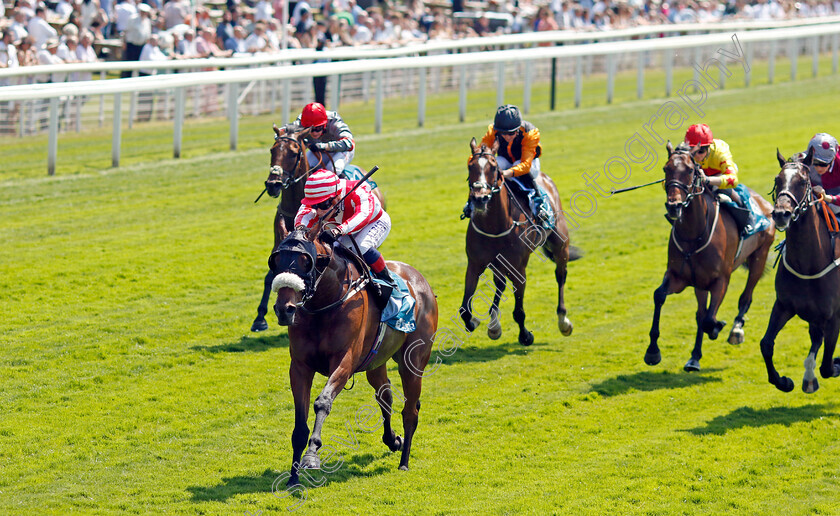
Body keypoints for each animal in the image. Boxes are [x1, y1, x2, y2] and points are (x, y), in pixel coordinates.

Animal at [251, 126, 386, 330]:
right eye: (272, 150)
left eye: (293, 153)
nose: (273, 184)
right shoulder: (280, 239)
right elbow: (269, 277)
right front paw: (259, 319)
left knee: (366, 250)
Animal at [270, 228, 442, 486]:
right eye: (276, 260)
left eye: (306, 262)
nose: (285, 309)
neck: (325, 303)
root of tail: (420, 280)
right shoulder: (300, 367)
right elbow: (300, 424)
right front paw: (293, 478)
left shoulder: (345, 362)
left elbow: (323, 402)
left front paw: (312, 455)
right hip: (376, 362)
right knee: (385, 396)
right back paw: (393, 440)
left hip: (413, 361)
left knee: (410, 411)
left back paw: (404, 462)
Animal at [462, 139, 576, 344]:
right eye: (470, 166)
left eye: (493, 167)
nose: (480, 198)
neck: (495, 226)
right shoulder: (474, 264)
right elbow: (464, 309)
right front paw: (475, 322)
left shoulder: (518, 268)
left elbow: (519, 311)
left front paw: (525, 336)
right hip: (498, 263)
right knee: (500, 284)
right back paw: (494, 325)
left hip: (560, 245)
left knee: (561, 275)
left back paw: (563, 321)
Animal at [648, 142, 776, 370]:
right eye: (666, 168)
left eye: (690, 170)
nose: (674, 206)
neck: (694, 235)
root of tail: (764, 203)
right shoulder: (679, 277)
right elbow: (660, 296)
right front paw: (653, 351)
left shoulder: (721, 280)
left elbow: (710, 319)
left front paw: (718, 326)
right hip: (699, 282)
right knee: (701, 312)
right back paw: (694, 357)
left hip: (759, 257)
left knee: (746, 297)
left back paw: (736, 330)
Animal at [756, 147, 840, 394]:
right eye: (778, 180)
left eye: (803, 181)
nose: (781, 214)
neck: (808, 264)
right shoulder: (784, 305)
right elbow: (766, 344)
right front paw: (783, 381)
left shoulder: (833, 316)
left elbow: (828, 365)